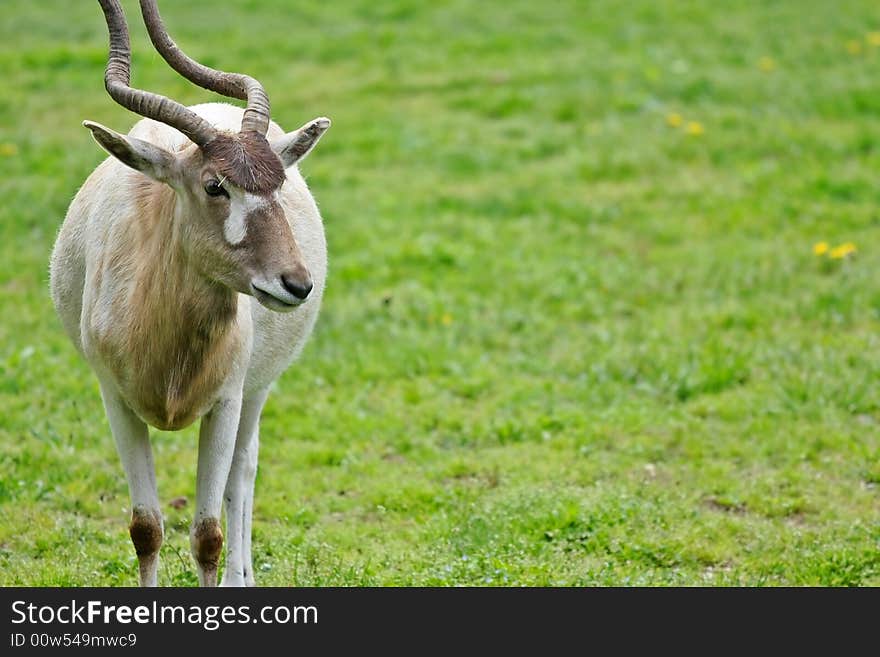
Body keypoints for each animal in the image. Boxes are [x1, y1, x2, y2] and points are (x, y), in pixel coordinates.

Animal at [52, 0, 334, 584]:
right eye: (214, 185)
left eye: (279, 183)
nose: (296, 283)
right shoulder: (115, 400)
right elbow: (146, 528)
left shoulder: (225, 401)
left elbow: (207, 535)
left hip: (256, 389)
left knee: (243, 471)